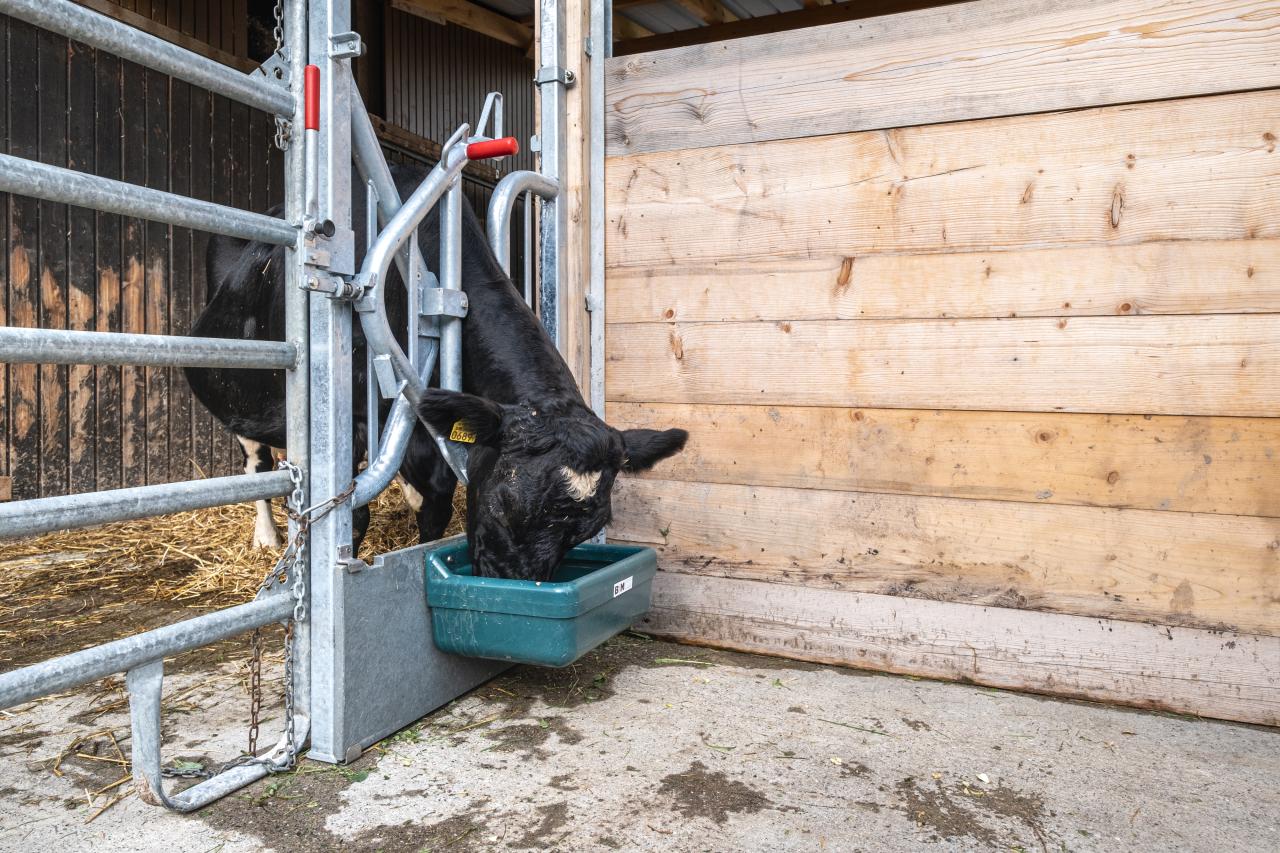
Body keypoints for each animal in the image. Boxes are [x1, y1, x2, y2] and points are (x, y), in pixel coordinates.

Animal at [185, 164, 687, 581]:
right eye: (504, 503)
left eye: (586, 529)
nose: (506, 581)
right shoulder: (355, 418)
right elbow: (360, 512)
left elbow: (438, 498)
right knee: (257, 462)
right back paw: (268, 536)